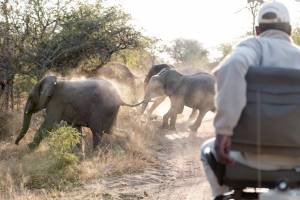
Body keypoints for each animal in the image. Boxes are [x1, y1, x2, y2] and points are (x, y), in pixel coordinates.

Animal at [15, 75, 144, 150]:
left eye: (31, 97)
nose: (16, 143)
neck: (54, 81)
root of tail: (119, 98)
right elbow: (75, 128)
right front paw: (79, 156)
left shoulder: (56, 102)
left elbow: (49, 123)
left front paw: (30, 147)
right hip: (111, 111)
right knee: (110, 130)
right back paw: (129, 141)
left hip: (103, 109)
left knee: (97, 131)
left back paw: (94, 156)